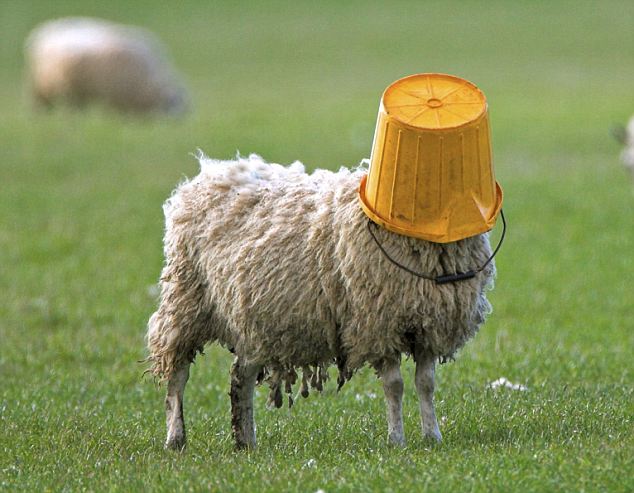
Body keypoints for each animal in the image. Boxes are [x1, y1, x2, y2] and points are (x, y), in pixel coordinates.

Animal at [146, 154, 496, 450]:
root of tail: (211, 173)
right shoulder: (378, 326)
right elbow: (395, 386)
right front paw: (397, 439)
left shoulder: (427, 324)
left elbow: (426, 384)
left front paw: (432, 436)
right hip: (186, 299)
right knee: (177, 373)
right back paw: (175, 438)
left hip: (253, 319)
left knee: (239, 377)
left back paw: (246, 441)